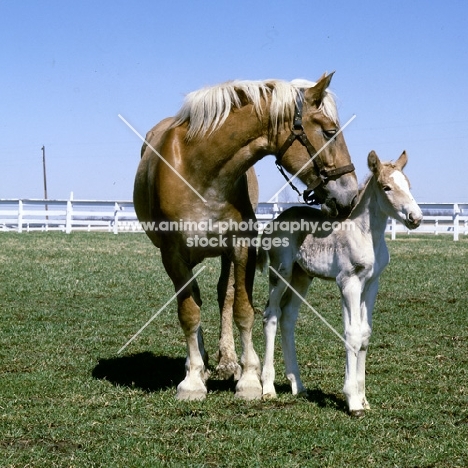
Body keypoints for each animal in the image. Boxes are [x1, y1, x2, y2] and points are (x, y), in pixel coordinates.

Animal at [133, 72, 356, 398]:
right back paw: (198, 362)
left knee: (223, 295)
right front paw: (192, 380)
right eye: (329, 132)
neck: (200, 173)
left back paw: (226, 360)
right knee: (194, 298)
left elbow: (242, 309)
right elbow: (189, 312)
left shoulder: (241, 248)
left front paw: (249, 378)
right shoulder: (172, 256)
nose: (351, 196)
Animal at [260, 152, 424, 414]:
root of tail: (273, 223)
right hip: (281, 273)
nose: (415, 218)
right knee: (271, 315)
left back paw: (298, 385)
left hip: (302, 277)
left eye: (408, 185)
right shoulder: (349, 282)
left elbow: (364, 333)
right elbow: (352, 333)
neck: (365, 234)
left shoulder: (371, 284)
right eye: (386, 187)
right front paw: (353, 401)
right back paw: (267, 388)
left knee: (288, 317)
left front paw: (364, 398)